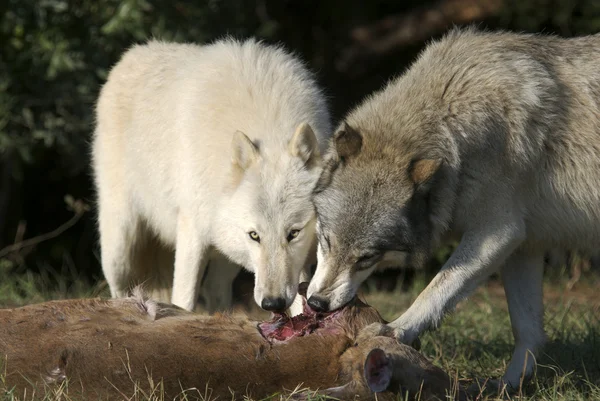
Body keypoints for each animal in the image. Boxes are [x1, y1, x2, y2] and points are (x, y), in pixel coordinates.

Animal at [91, 38, 330, 312]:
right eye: (255, 235)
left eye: (293, 234)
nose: (273, 303)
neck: (269, 128)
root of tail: (133, 53)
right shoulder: (192, 232)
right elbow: (183, 300)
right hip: (120, 253)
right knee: (121, 287)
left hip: (226, 253)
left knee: (214, 290)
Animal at [308, 28, 600, 390]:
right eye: (327, 241)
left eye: (367, 258)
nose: (317, 304)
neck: (451, 113)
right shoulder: (523, 245)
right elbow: (527, 329)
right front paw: (508, 387)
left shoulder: (498, 234)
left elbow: (435, 290)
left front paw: (394, 330)